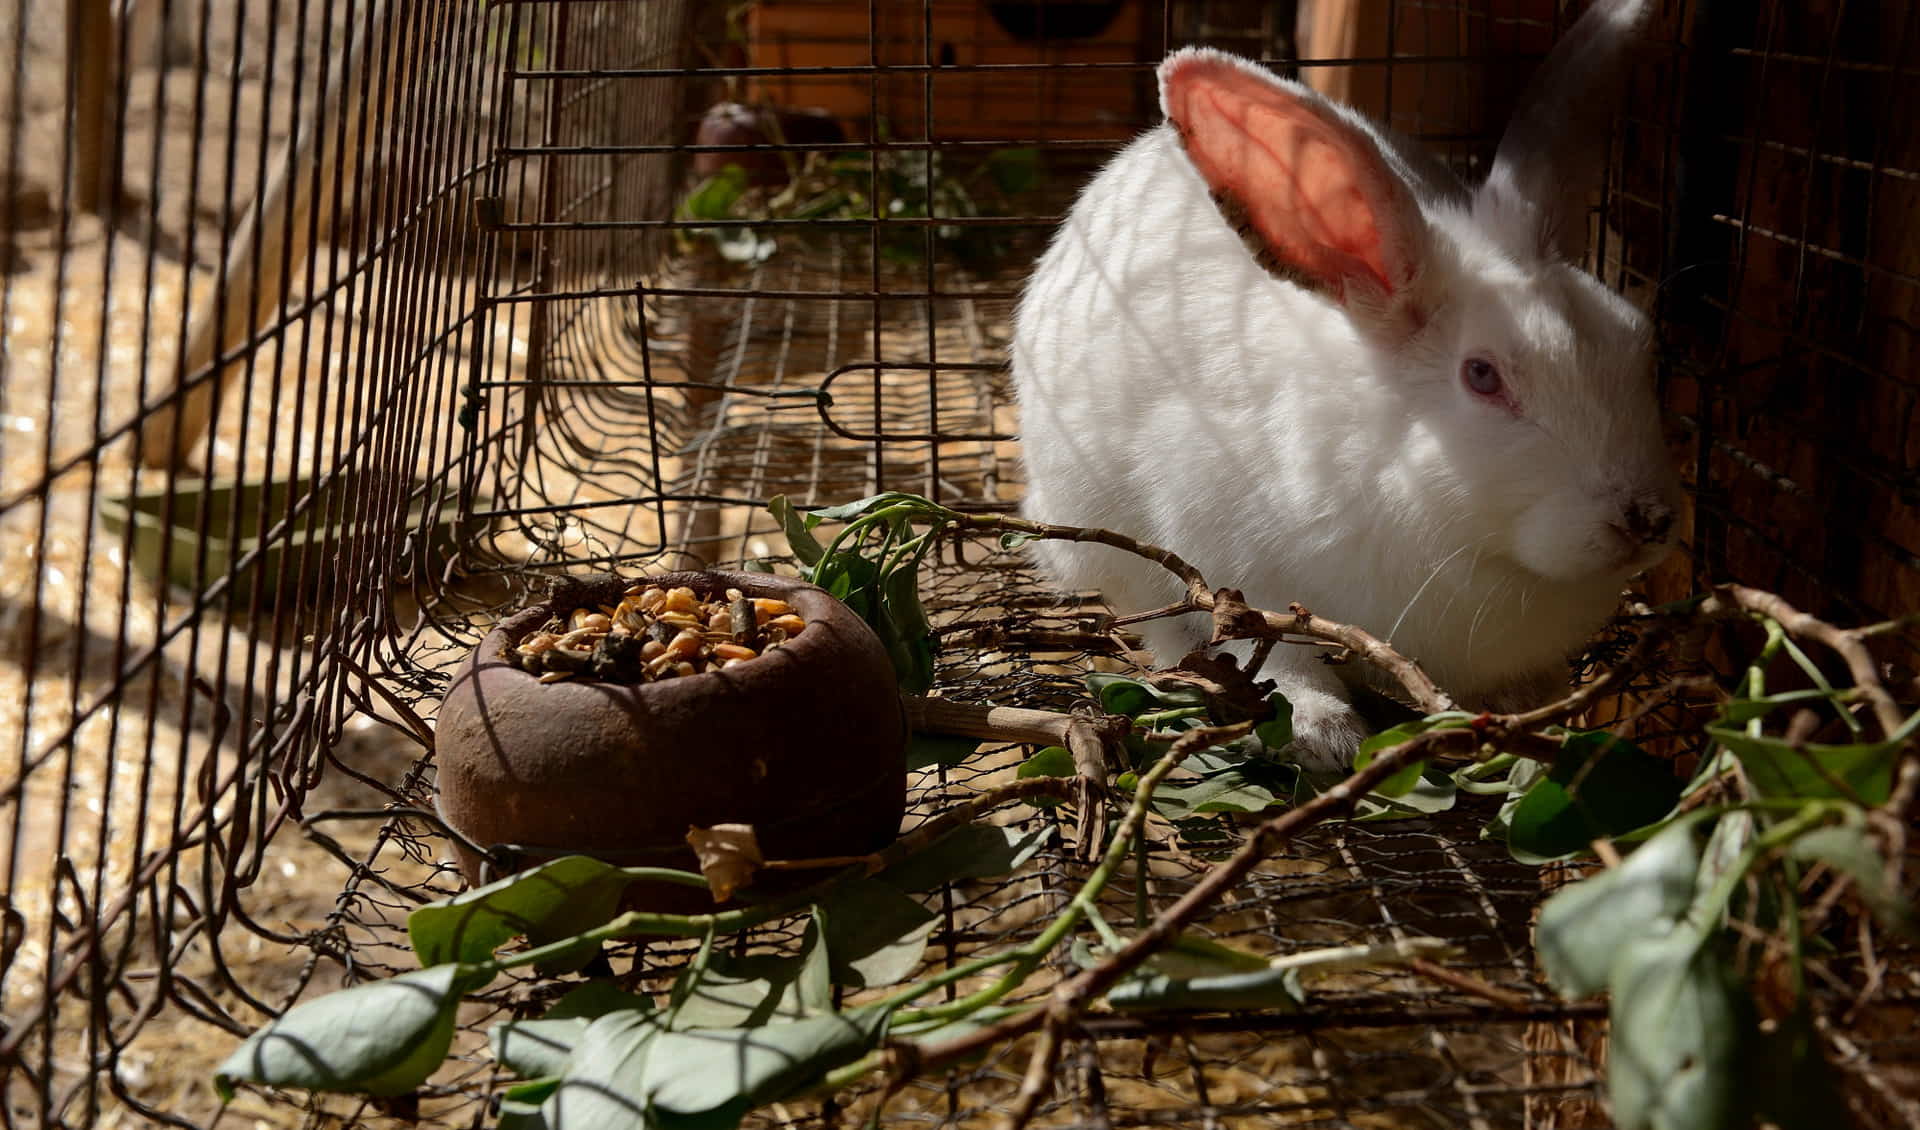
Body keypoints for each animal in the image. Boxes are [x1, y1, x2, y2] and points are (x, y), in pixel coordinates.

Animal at [1021, 0, 1681, 767]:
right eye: (1482, 376)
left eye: (1637, 338)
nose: (1647, 519)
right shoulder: (1231, 565)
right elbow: (1273, 653)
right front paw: (1324, 732)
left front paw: (1532, 713)